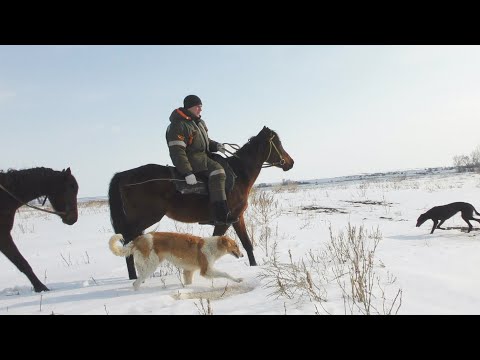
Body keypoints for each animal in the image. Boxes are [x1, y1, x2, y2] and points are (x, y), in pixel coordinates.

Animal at [109, 126, 294, 278]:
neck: (238, 174)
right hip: (146, 218)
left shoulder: (237, 218)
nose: (290, 162)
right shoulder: (225, 220)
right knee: (129, 243)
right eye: (277, 143)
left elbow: (247, 244)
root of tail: (123, 175)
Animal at [109, 233, 244, 290]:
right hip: (151, 266)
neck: (212, 246)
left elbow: (188, 283)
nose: (242, 255)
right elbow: (226, 273)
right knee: (135, 284)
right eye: (236, 245)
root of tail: (138, 239)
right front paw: (238, 279)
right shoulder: (206, 270)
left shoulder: (188, 271)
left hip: (145, 265)